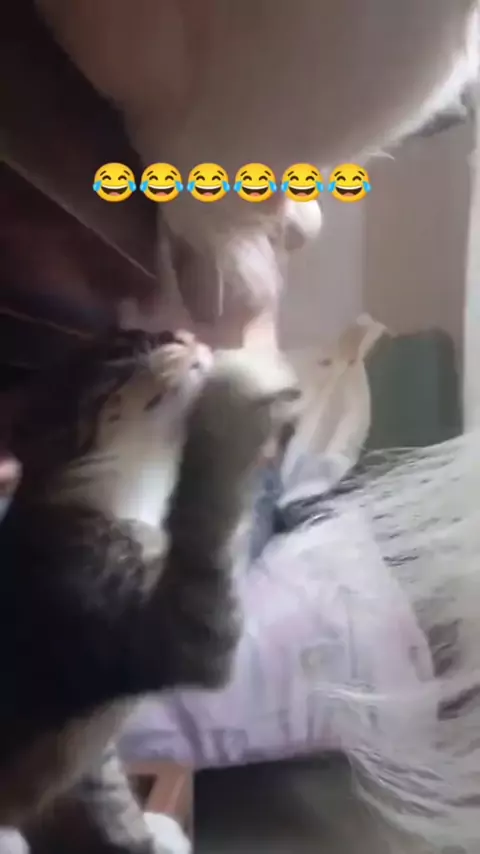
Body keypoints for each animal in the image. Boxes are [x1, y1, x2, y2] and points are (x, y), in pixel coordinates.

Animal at [0, 329, 299, 853]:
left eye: (172, 333)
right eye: (124, 352)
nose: (187, 334)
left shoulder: (85, 758)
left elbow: (111, 803)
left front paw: (141, 834)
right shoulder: (179, 634)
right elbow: (204, 515)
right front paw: (235, 393)